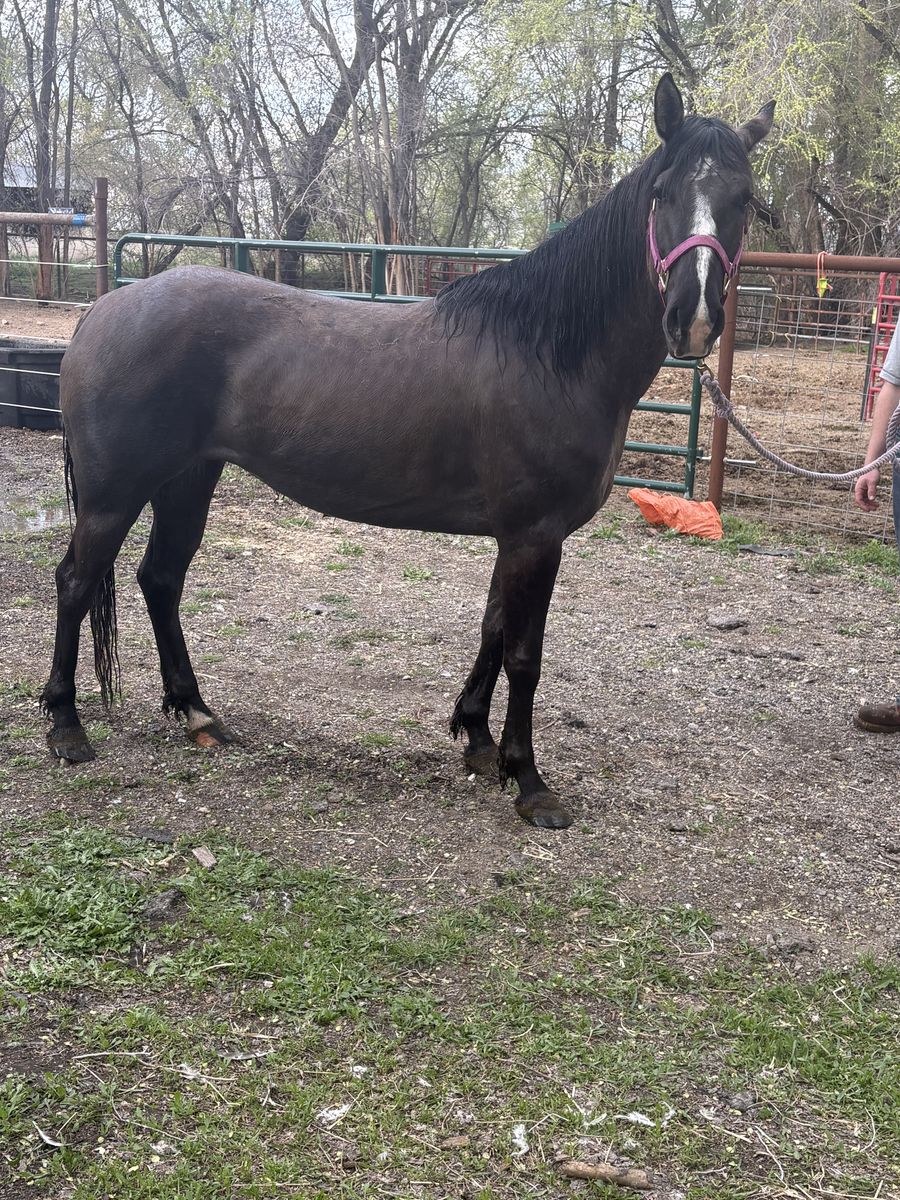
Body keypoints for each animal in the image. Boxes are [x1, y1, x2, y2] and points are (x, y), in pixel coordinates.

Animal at [41, 74, 773, 829]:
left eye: (744, 200)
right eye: (663, 192)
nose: (693, 317)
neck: (549, 353)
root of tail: (103, 310)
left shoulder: (514, 537)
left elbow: (491, 629)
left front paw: (477, 741)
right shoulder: (537, 536)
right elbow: (524, 654)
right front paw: (529, 780)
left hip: (188, 479)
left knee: (161, 579)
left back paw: (197, 714)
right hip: (115, 495)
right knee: (75, 582)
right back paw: (66, 727)